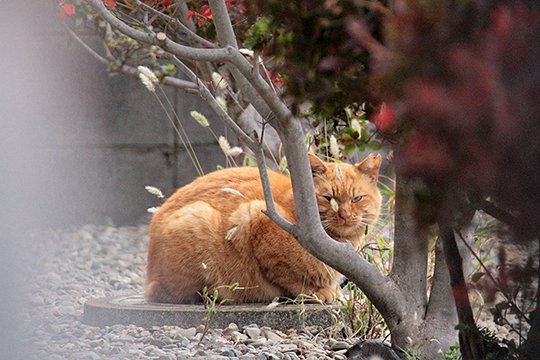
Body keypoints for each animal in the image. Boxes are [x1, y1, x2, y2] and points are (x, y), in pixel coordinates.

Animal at [146, 153, 382, 304]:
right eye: (328, 198)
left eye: (356, 199)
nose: (344, 215)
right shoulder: (255, 218)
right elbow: (290, 278)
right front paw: (315, 293)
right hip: (197, 219)